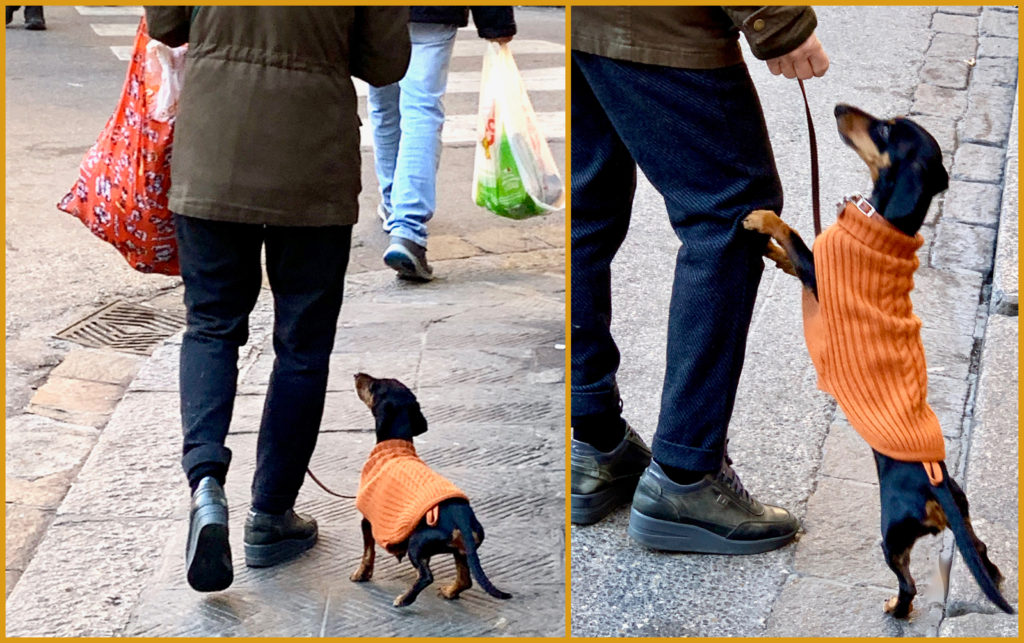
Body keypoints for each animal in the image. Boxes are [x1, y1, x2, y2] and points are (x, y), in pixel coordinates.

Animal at [350, 372, 512, 606]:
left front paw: (361, 574)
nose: (357, 374)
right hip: (461, 551)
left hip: (417, 543)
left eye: (374, 385)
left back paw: (404, 599)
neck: (395, 447)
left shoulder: (367, 520)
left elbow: (367, 553)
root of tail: (462, 516)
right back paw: (449, 592)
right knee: (465, 579)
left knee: (426, 576)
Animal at [741, 104, 1011, 618]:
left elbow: (795, 235)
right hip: (959, 522)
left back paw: (896, 608)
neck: (883, 227)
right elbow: (791, 257)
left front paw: (763, 220)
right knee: (982, 550)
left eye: (885, 129)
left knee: (908, 582)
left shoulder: (819, 274)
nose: (837, 107)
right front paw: (768, 250)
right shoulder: (813, 276)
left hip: (892, 533)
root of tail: (936, 484)